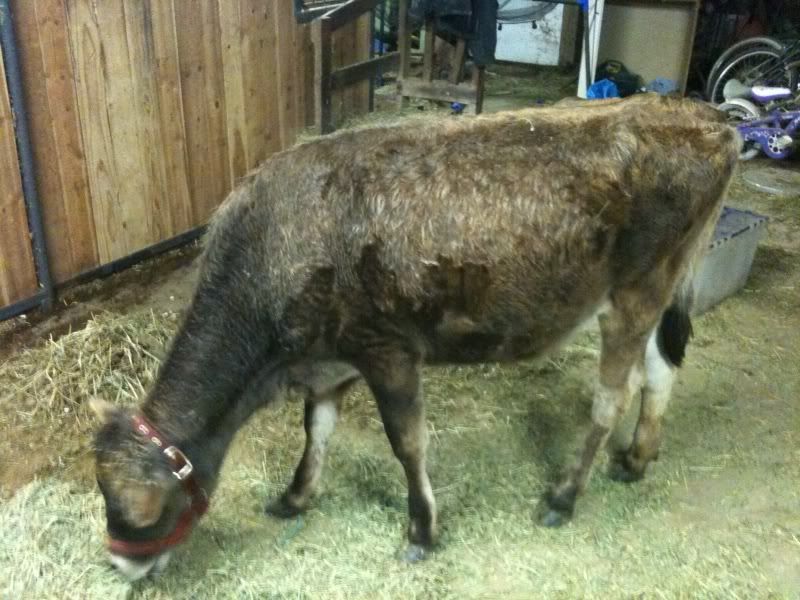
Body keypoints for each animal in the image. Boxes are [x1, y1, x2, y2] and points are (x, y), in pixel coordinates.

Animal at [89, 93, 740, 580]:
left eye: (142, 509)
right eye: (103, 495)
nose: (120, 567)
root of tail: (706, 118)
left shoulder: (388, 350)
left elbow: (407, 443)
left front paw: (422, 530)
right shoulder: (332, 359)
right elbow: (316, 429)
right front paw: (296, 496)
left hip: (632, 294)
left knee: (612, 397)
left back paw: (563, 496)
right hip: (658, 291)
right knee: (662, 369)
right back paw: (637, 457)